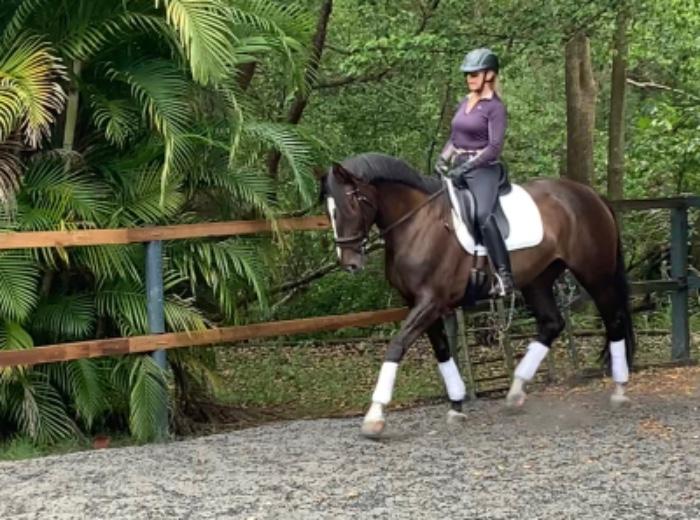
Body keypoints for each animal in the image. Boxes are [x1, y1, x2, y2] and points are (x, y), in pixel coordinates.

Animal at [320, 152, 635, 438]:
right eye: (328, 210)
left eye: (352, 201)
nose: (349, 263)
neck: (419, 223)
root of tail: (591, 195)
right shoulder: (419, 304)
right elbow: (442, 350)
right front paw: (456, 405)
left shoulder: (430, 302)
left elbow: (397, 345)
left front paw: (374, 416)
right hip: (538, 279)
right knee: (552, 323)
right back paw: (515, 392)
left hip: (595, 275)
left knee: (614, 320)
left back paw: (619, 390)